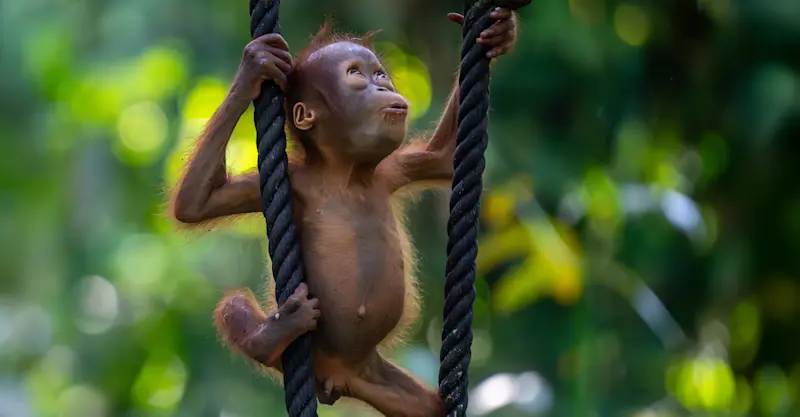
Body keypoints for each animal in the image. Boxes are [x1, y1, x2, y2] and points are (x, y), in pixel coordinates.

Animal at [170, 8, 518, 417]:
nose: (383, 87)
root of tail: (335, 379)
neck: (347, 172)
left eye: (380, 74)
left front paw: (500, 32)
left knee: (426, 408)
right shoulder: (294, 181)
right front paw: (254, 67)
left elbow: (445, 157)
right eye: (355, 75)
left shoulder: (392, 170)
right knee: (233, 305)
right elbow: (197, 202)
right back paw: (269, 337)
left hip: (374, 379)